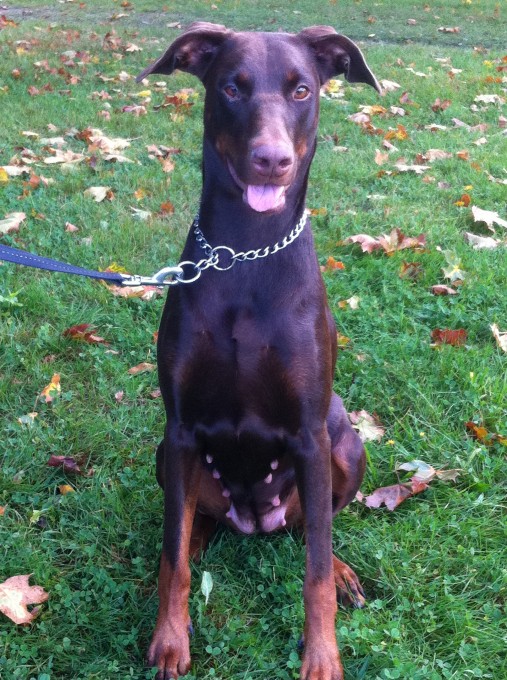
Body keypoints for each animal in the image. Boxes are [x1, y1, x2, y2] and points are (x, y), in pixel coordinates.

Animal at [137, 22, 380, 680]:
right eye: (231, 87)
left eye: (301, 90)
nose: (272, 161)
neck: (245, 253)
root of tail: (253, 521)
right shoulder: (180, 428)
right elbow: (172, 557)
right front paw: (170, 637)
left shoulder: (309, 434)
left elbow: (314, 570)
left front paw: (321, 656)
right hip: (168, 459)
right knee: (190, 526)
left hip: (344, 441)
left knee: (314, 531)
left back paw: (343, 570)